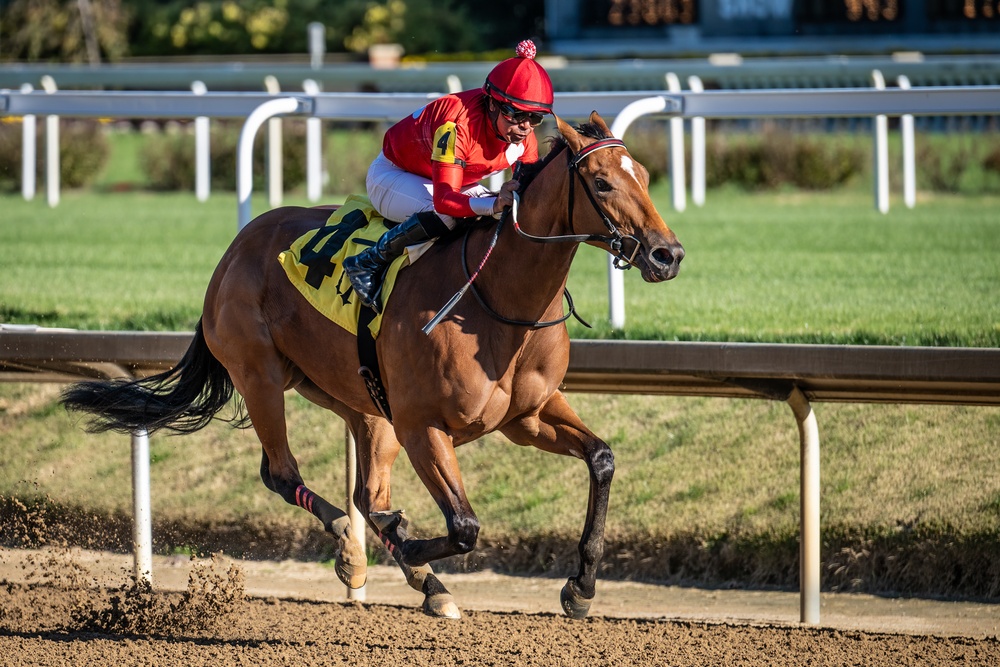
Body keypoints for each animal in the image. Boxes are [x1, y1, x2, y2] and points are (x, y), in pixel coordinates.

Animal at [60, 113, 680, 620]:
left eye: (646, 177)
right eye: (602, 182)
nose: (667, 254)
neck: (497, 298)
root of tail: (235, 249)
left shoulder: (527, 416)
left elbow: (601, 459)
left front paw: (581, 587)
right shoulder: (423, 424)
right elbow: (463, 526)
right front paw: (407, 541)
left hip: (359, 399)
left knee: (364, 493)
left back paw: (418, 578)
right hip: (261, 373)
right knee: (284, 474)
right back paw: (358, 546)